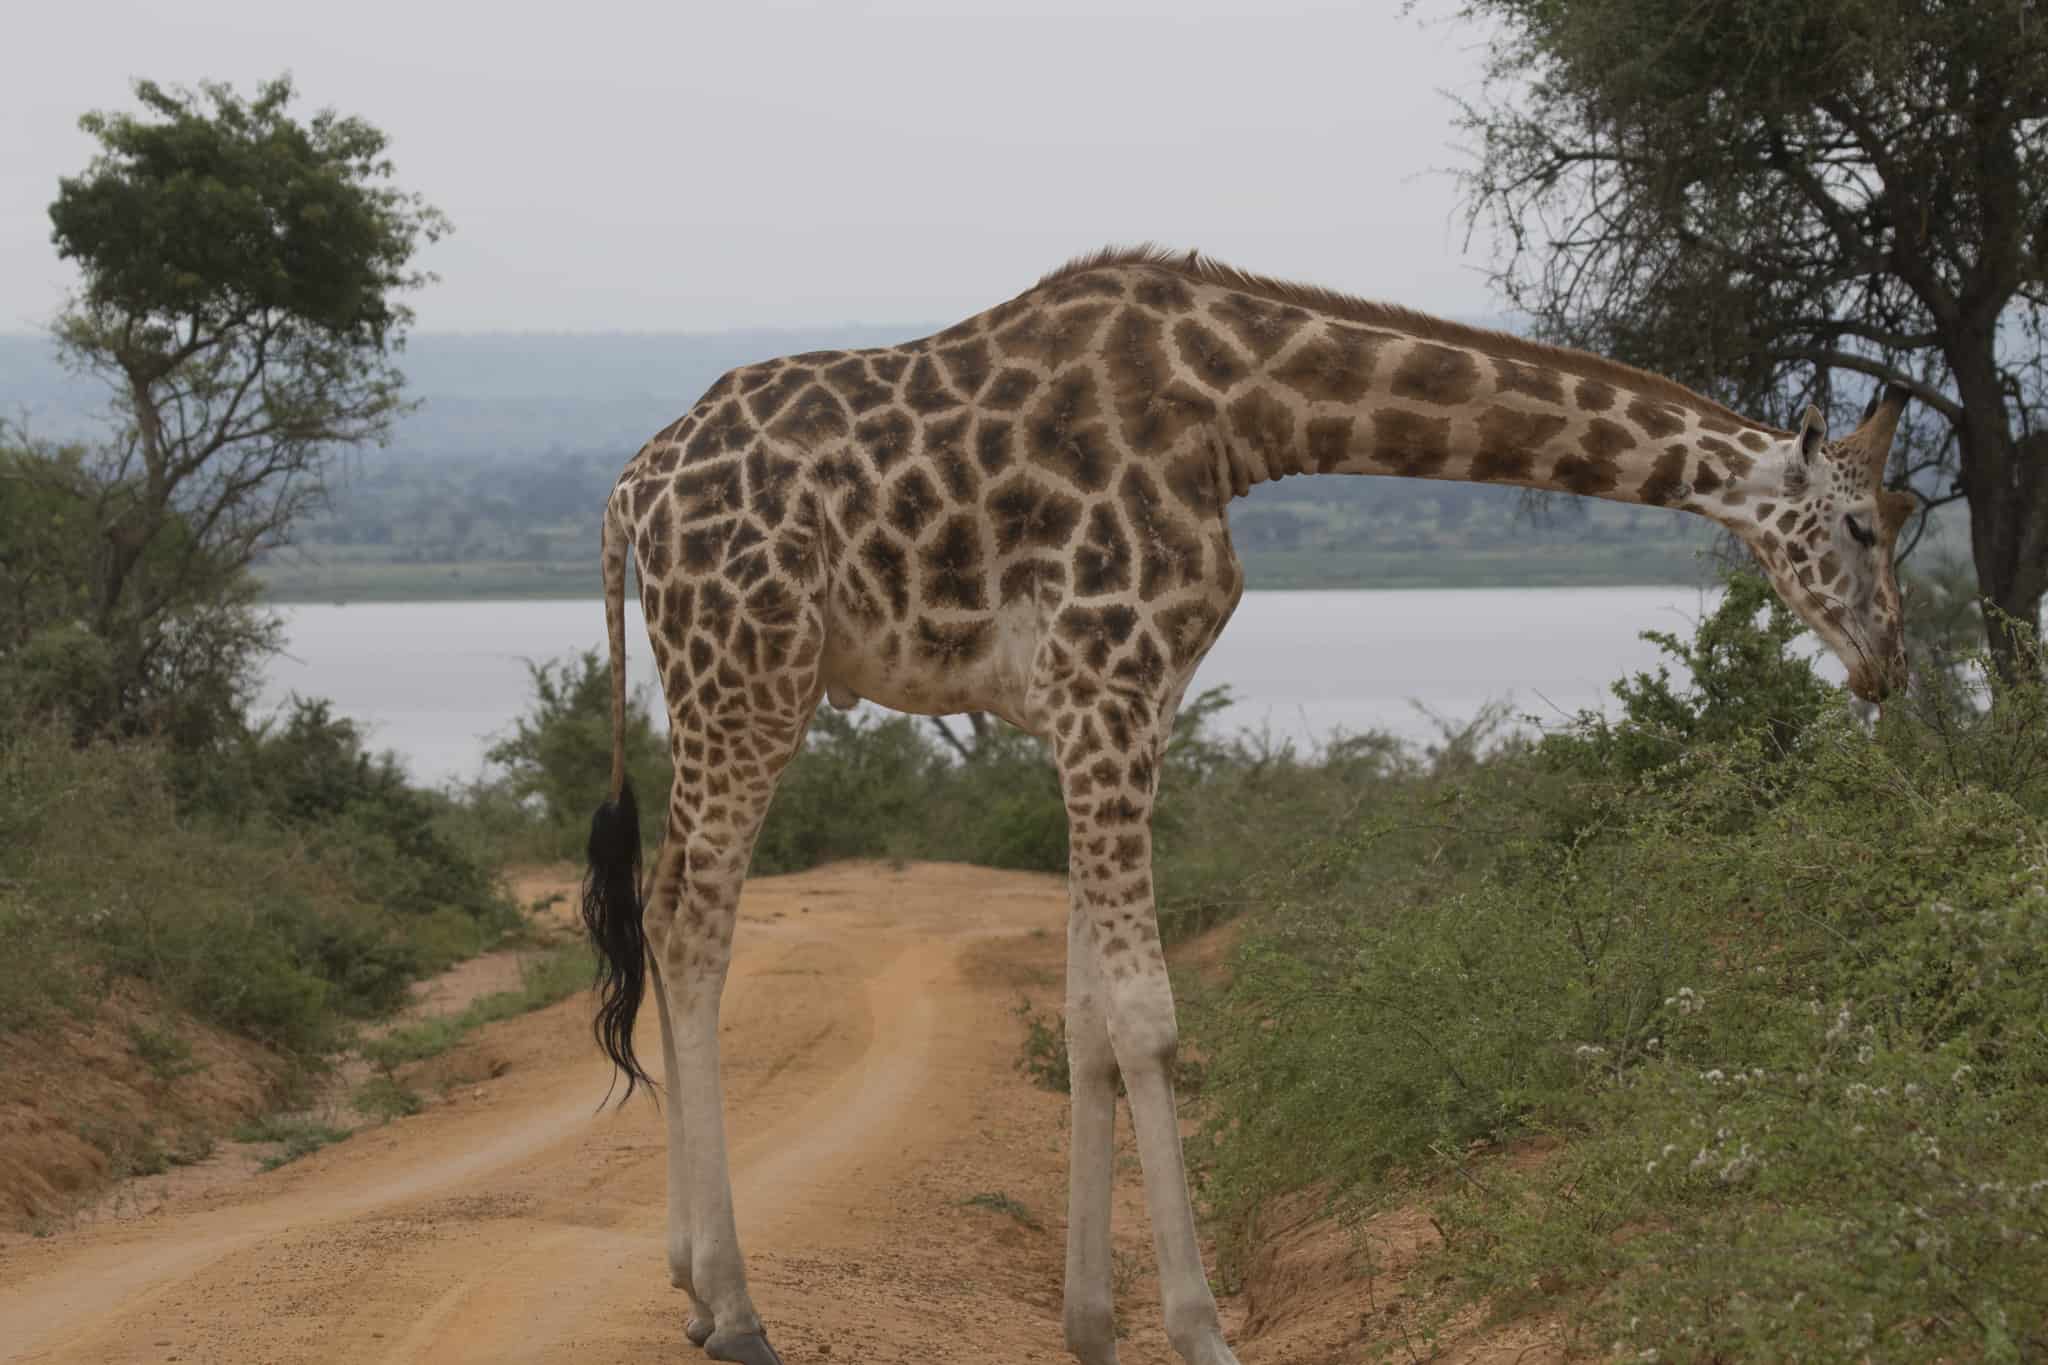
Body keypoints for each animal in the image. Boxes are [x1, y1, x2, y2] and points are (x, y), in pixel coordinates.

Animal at [580, 246, 1914, 1365]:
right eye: (1859, 523)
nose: (1886, 667)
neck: (1239, 413)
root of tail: (628, 491)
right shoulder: (1105, 684)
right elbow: (1148, 1016)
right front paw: (1199, 1330)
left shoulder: (1117, 704)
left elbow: (1084, 1019)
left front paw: (1090, 1326)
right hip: (750, 674)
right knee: (693, 923)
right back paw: (734, 1309)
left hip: (723, 681)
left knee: (662, 907)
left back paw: (691, 1287)